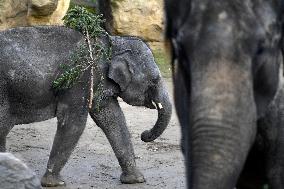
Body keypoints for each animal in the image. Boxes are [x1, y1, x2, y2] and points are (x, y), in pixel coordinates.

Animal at [0, 25, 172, 187]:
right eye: (154, 80)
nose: (144, 134)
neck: (112, 42)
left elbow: (112, 118)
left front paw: (135, 180)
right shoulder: (81, 80)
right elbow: (74, 122)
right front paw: (55, 183)